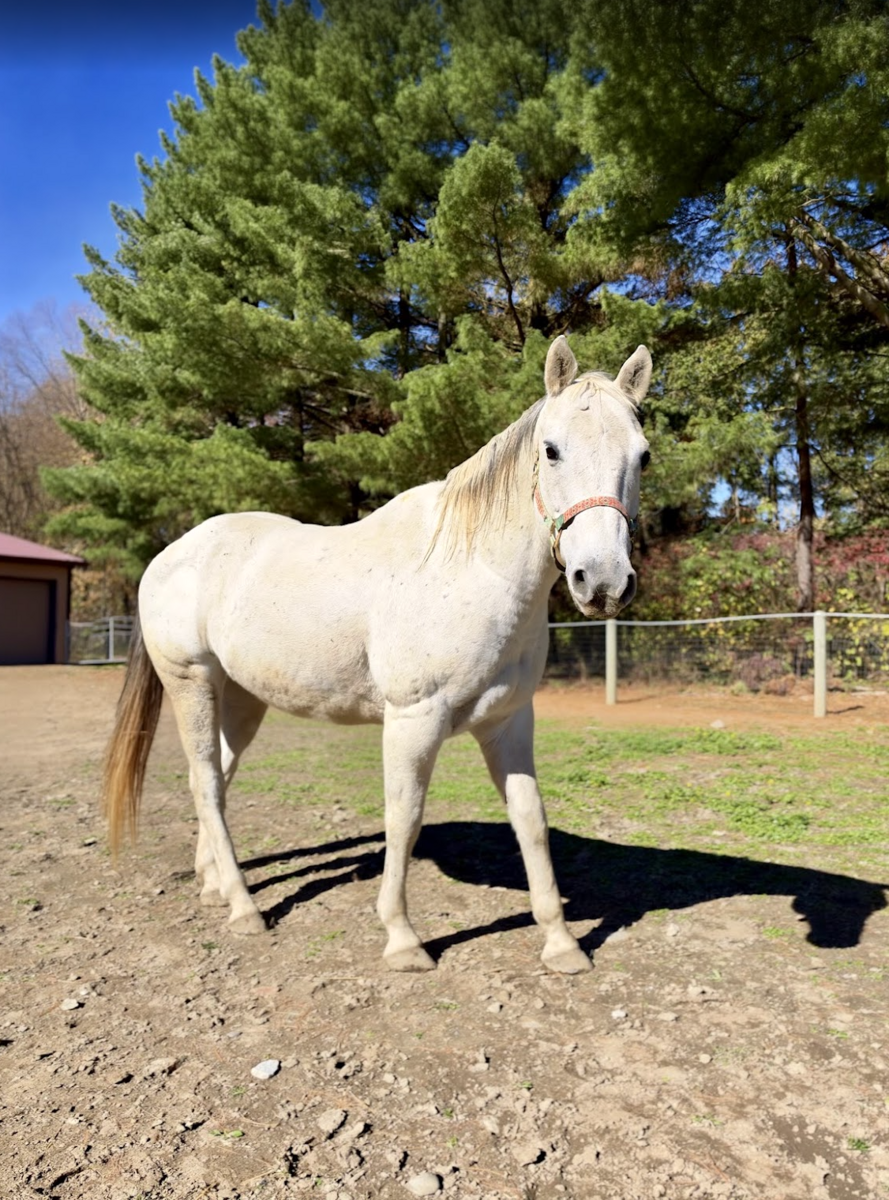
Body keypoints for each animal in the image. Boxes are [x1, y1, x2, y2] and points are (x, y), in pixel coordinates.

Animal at [103, 336, 652, 974]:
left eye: (642, 457)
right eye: (551, 449)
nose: (604, 582)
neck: (470, 569)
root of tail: (169, 555)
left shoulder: (509, 721)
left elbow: (531, 822)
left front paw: (562, 943)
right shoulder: (413, 721)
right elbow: (404, 817)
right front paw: (403, 938)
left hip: (240, 697)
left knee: (214, 773)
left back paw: (214, 883)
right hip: (189, 682)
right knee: (208, 782)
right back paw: (243, 908)